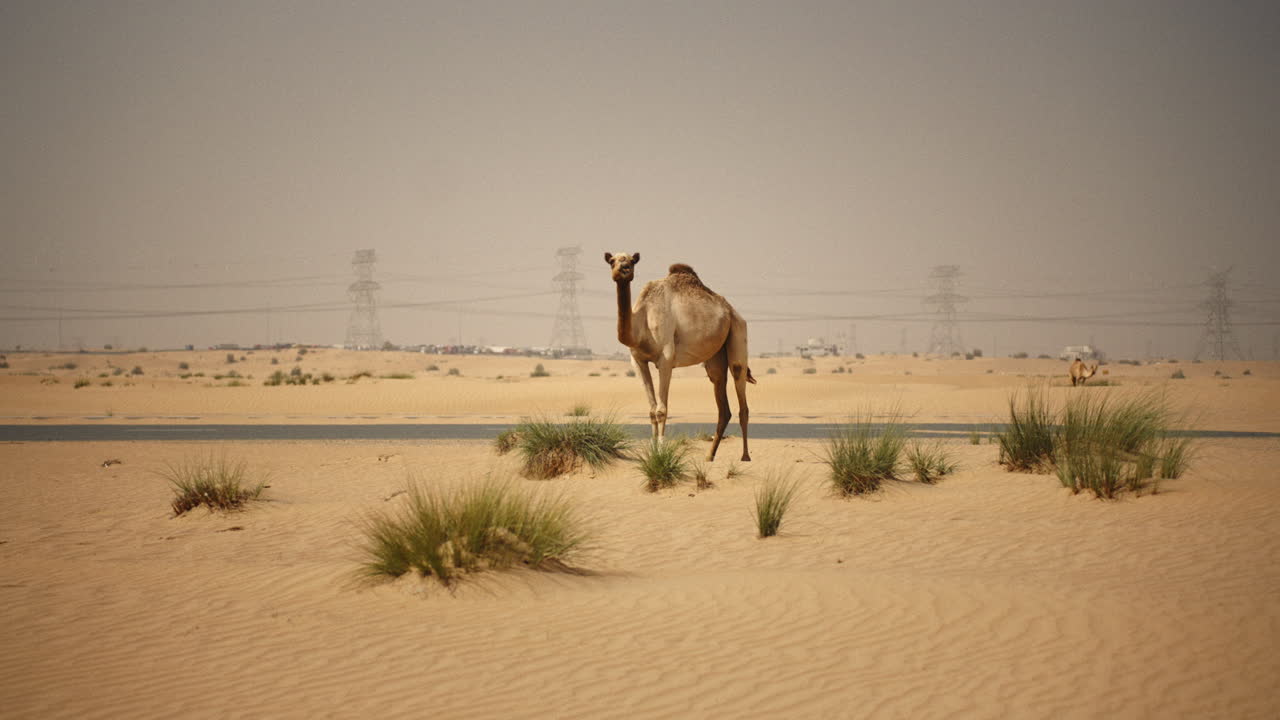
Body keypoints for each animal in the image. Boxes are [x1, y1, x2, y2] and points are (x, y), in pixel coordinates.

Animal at [605, 252, 755, 461]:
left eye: (631, 261)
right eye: (612, 261)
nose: (623, 268)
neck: (642, 320)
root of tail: (732, 310)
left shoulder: (666, 358)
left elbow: (661, 410)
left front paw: (660, 452)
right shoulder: (638, 360)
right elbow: (651, 410)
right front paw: (652, 451)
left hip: (738, 330)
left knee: (740, 384)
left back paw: (745, 456)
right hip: (716, 356)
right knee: (722, 401)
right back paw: (709, 456)